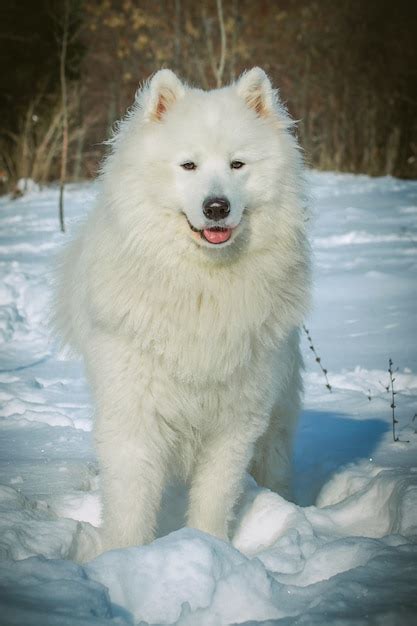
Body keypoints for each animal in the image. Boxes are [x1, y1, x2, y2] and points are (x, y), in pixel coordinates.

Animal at [54, 66, 308, 548]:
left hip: (275, 418)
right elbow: (131, 505)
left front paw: (209, 549)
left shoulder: (234, 421)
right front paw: (125, 557)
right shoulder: (134, 414)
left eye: (237, 164)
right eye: (188, 165)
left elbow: (214, 498)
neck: (201, 288)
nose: (216, 207)